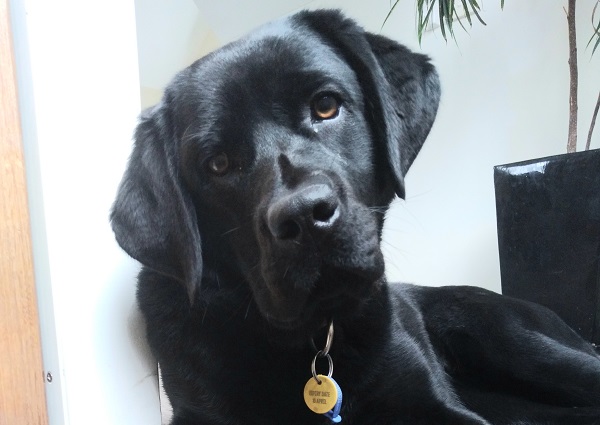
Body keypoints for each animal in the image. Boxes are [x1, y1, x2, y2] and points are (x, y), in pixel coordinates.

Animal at [111, 8, 600, 422]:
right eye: (217, 164)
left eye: (326, 106)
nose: (305, 217)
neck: (308, 342)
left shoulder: (436, 405)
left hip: (508, 337)